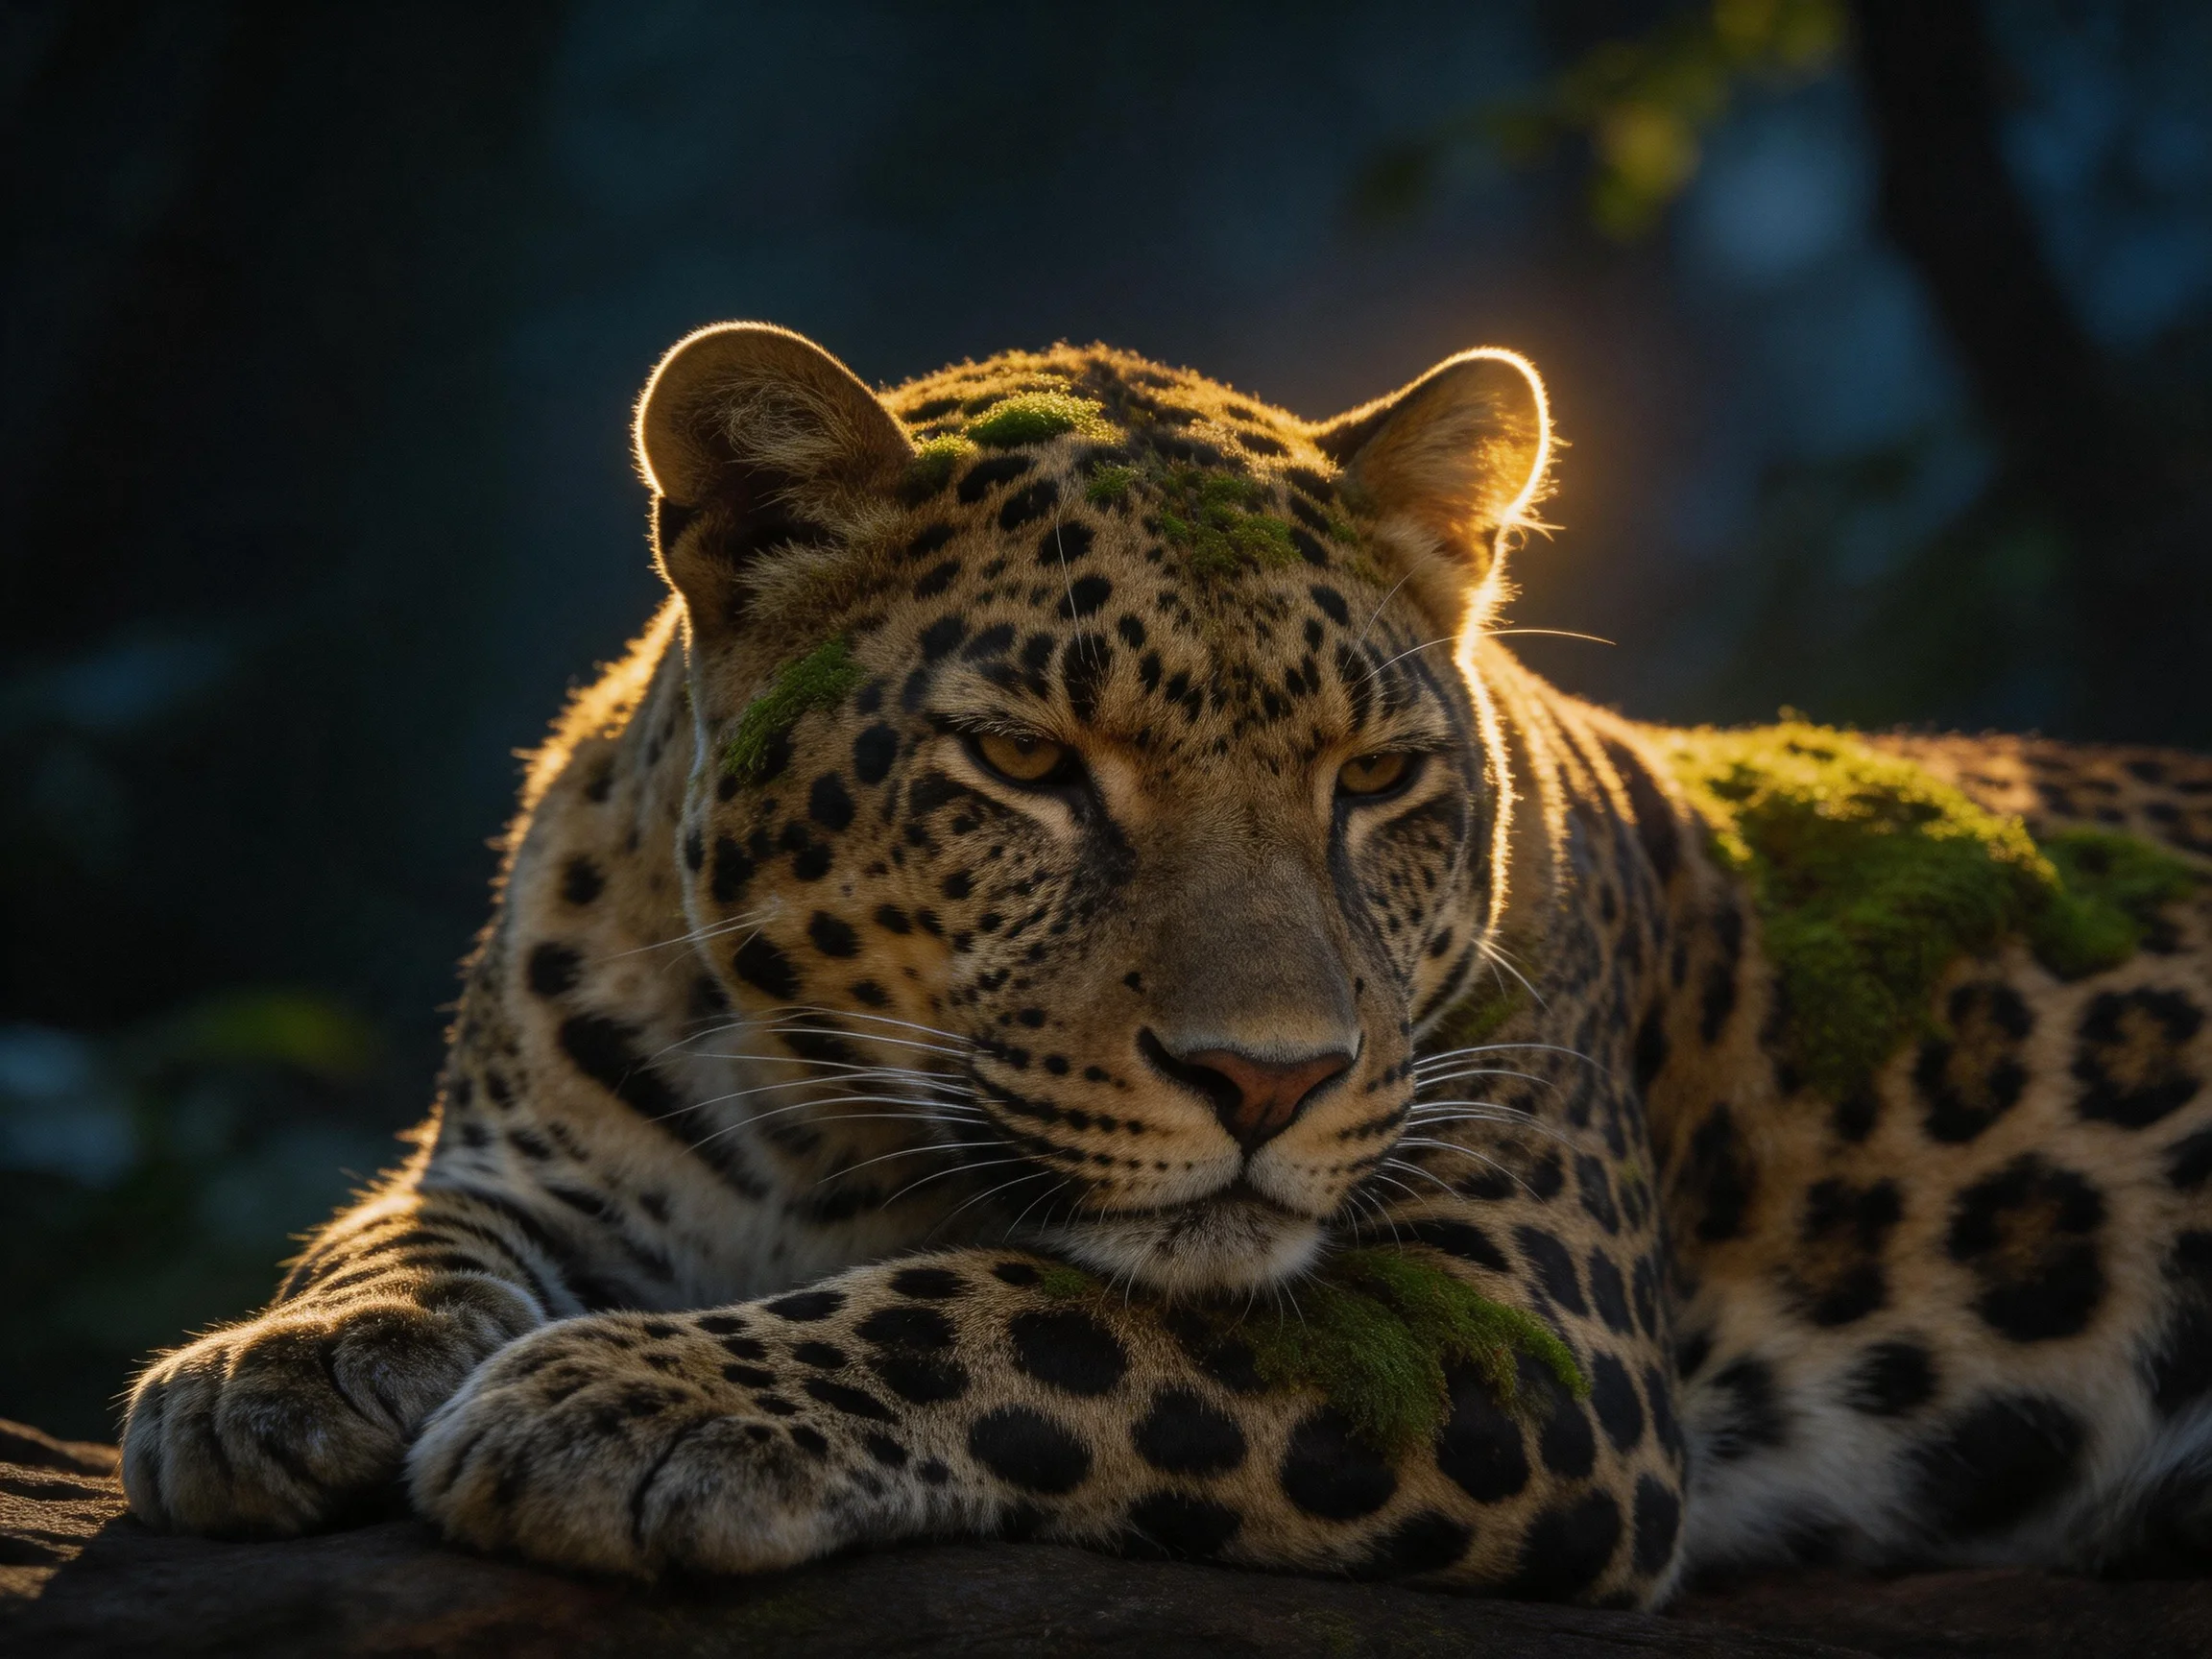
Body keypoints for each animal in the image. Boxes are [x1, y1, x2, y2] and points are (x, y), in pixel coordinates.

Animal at [117, 321, 2212, 1606]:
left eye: (1373, 782)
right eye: (1030, 764)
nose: (1266, 1078)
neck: (823, 1142)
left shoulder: (1528, 1331)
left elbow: (1029, 1308)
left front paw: (636, 1402)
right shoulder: (526, 1152)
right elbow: (403, 1227)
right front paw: (278, 1367)